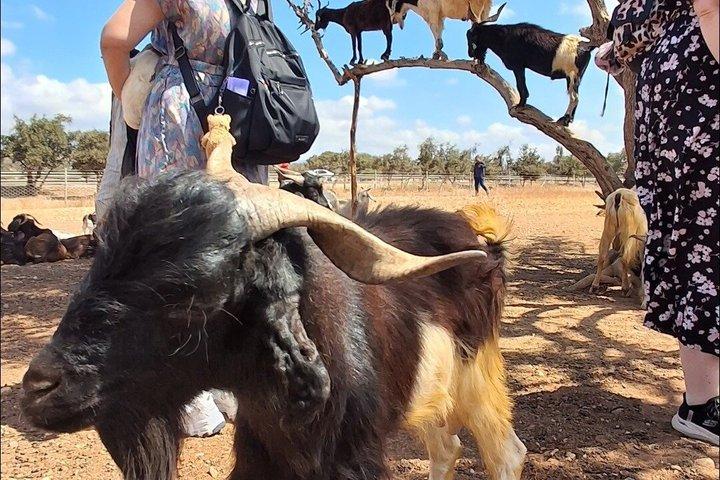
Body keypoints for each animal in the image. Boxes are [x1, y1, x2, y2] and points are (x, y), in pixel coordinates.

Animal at [22, 115, 525, 480]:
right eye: (101, 258)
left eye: (192, 301)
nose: (38, 388)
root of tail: (485, 243)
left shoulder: (354, 457)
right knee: (448, 449)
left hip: (475, 375)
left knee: (506, 454)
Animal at [467, 12, 596, 126]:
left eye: (472, 36)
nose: (470, 53)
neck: (504, 37)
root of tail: (586, 47)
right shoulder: (521, 67)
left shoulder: (518, 66)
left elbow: (521, 86)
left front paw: (520, 105)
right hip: (577, 76)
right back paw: (570, 120)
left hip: (571, 74)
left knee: (574, 97)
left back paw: (564, 119)